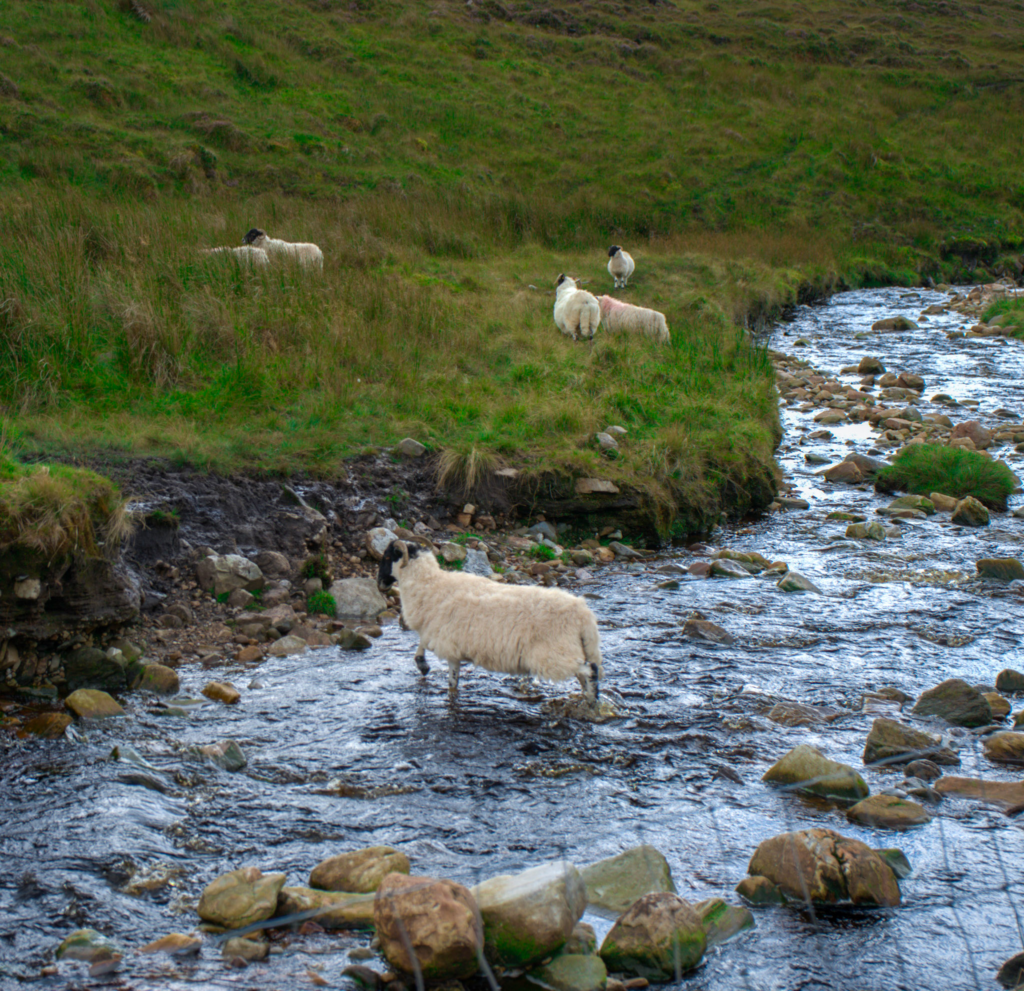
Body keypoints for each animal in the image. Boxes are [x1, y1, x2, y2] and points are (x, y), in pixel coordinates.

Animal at [377, 539, 604, 706]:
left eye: (387, 557)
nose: (379, 584)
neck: (430, 585)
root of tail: (583, 614)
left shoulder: (448, 644)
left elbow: (451, 681)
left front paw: (423, 665)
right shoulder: (440, 633)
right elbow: (423, 644)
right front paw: (422, 664)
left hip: (555, 655)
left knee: (589, 671)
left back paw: (592, 700)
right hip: (573, 650)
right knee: (585, 674)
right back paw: (588, 699)